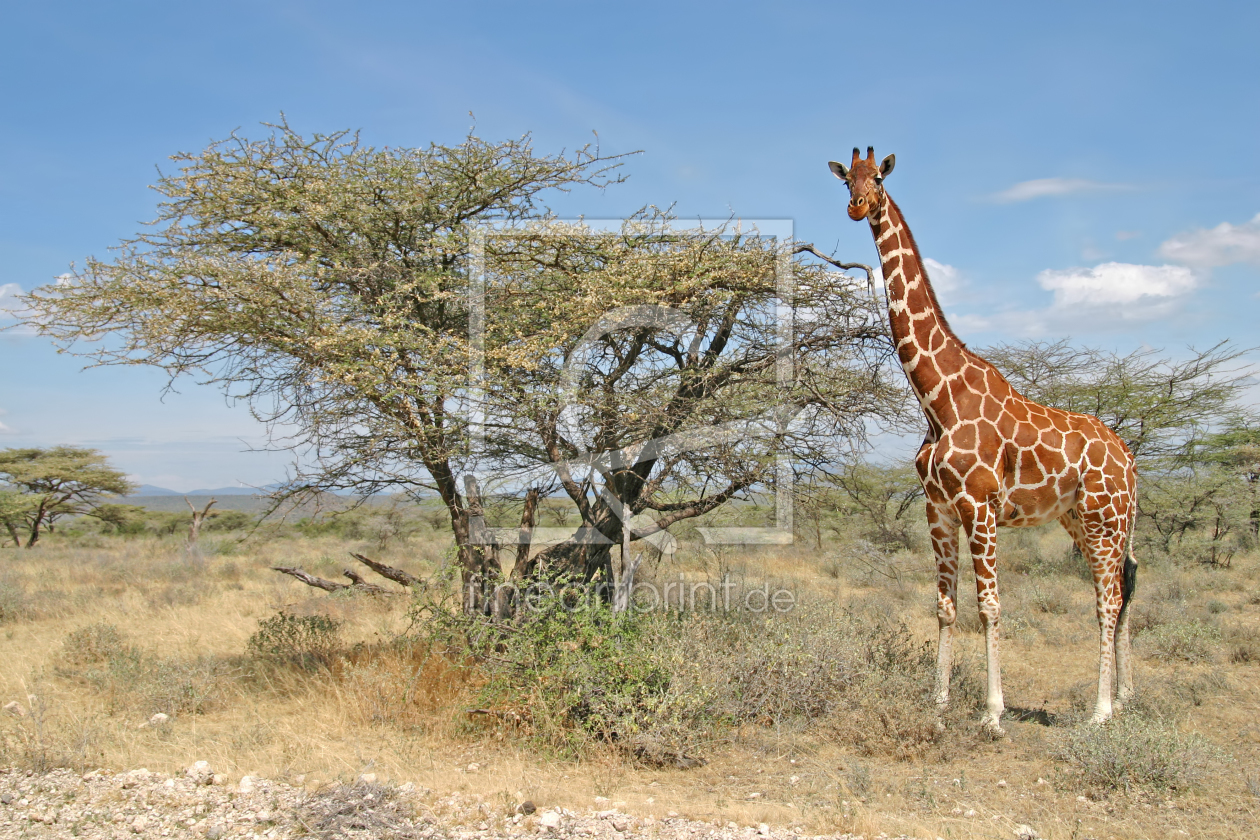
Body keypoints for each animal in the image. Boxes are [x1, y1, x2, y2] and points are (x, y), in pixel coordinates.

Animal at [831, 147, 1139, 730]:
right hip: (1084, 519)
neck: (937, 399)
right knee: (1126, 584)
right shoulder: (939, 509)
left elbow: (990, 607)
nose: (858, 207)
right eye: (845, 181)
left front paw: (993, 714)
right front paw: (938, 704)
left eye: (878, 177)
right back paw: (1128, 696)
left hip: (1104, 518)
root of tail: (1131, 461)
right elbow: (946, 606)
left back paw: (1101, 710)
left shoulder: (979, 504)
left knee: (1107, 599)